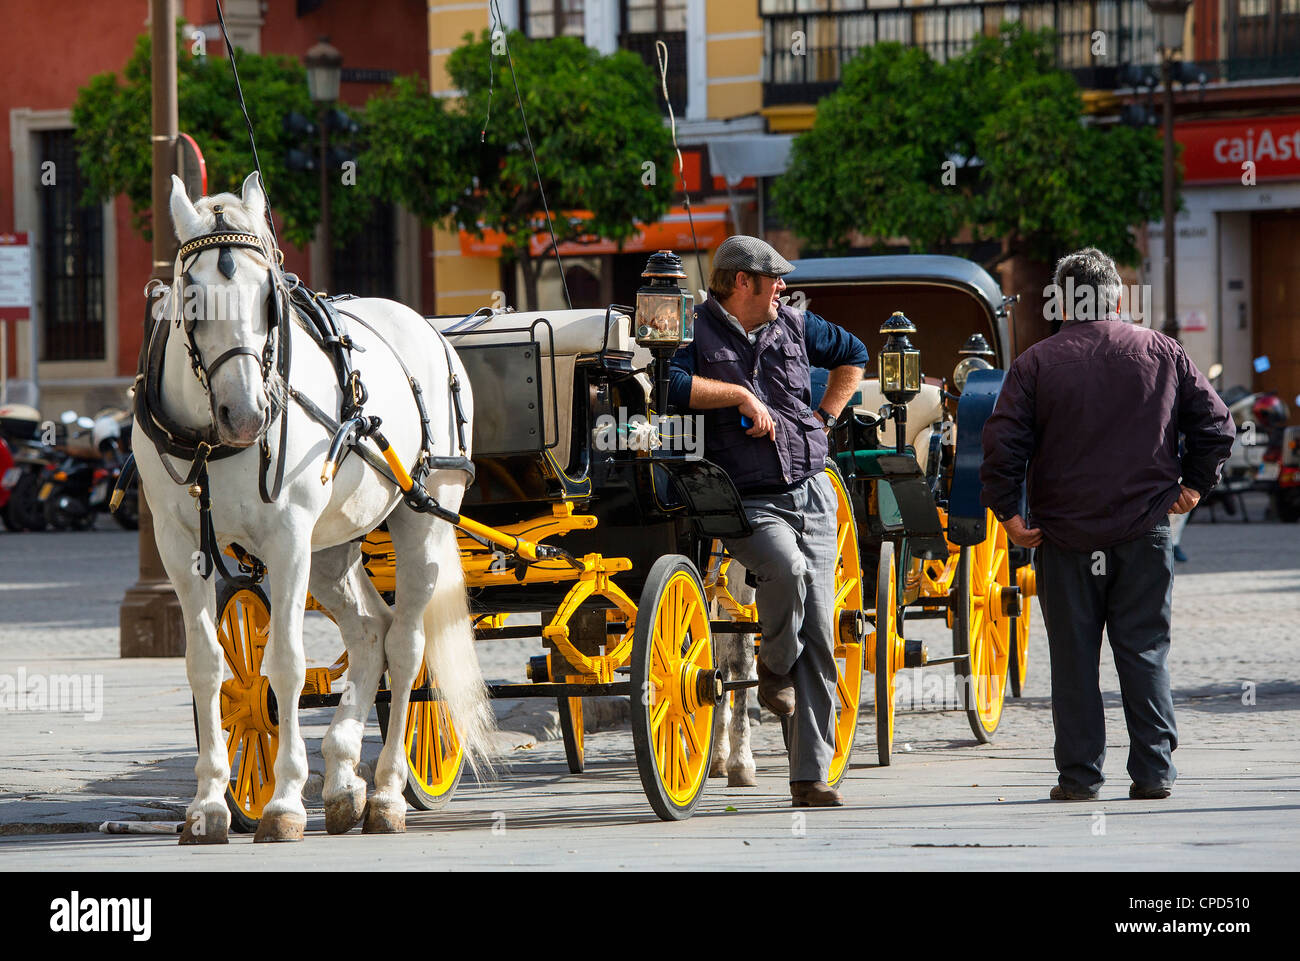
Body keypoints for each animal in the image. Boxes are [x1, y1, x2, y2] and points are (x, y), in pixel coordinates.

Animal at [134, 172, 491, 842]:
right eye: (191, 300)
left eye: (268, 299)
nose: (246, 415)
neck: (209, 439)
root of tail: (431, 330)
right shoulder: (177, 541)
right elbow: (205, 665)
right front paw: (209, 803)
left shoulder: (287, 539)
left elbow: (286, 664)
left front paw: (283, 801)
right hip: (332, 548)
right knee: (371, 631)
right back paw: (346, 777)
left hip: (421, 521)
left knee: (406, 646)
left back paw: (387, 793)